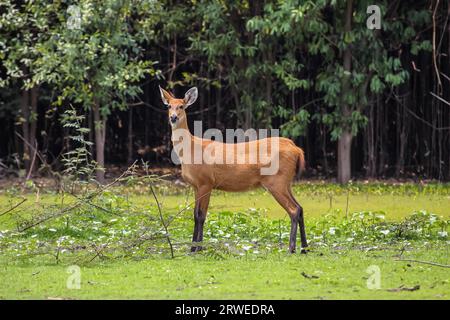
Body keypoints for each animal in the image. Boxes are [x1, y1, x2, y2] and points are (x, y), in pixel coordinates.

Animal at [159, 86, 310, 254]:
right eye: (168, 106)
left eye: (181, 106)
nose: (173, 117)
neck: (189, 151)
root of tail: (297, 149)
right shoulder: (195, 185)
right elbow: (195, 215)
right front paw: (194, 248)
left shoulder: (206, 182)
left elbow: (201, 215)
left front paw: (197, 248)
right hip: (286, 182)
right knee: (300, 208)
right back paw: (304, 247)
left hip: (276, 181)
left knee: (294, 210)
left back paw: (292, 248)